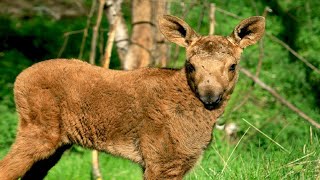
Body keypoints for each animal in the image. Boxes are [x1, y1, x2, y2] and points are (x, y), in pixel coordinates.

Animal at [0, 14, 264, 179]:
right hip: (37, 130)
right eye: (190, 65)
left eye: (232, 66)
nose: (210, 97)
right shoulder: (161, 159)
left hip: (57, 143)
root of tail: (18, 79)